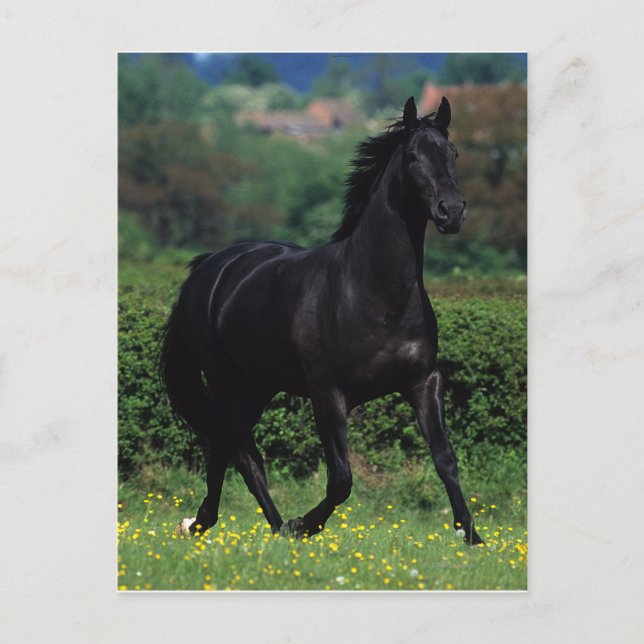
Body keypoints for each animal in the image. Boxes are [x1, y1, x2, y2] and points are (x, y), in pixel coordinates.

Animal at [160, 96, 483, 545]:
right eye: (413, 157)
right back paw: (245, 525)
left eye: (453, 154)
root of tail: (208, 267)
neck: (374, 294)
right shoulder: (328, 395)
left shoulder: (423, 382)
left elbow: (445, 459)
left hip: (257, 386)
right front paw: (305, 524)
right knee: (238, 452)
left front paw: (473, 537)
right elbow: (341, 480)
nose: (451, 212)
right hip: (226, 381)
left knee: (229, 450)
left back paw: (238, 525)